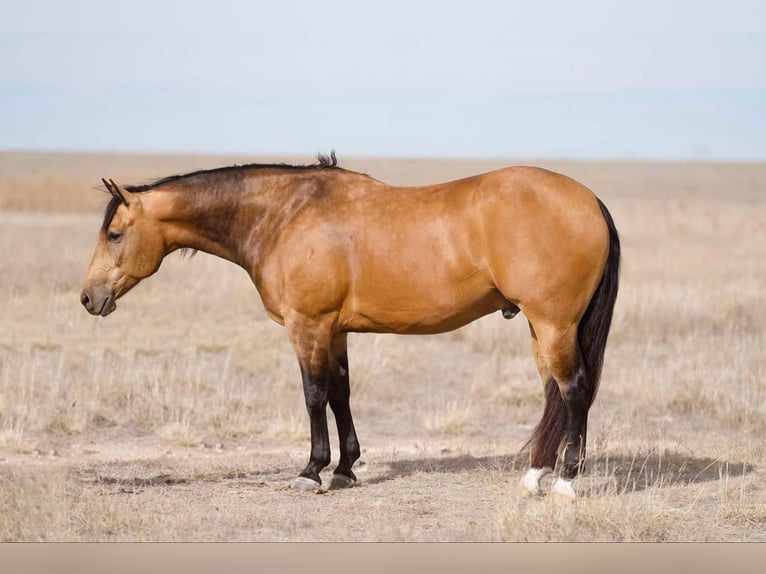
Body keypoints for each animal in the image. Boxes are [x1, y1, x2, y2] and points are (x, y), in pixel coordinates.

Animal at [81, 153, 620, 500]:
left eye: (115, 234)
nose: (89, 298)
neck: (286, 215)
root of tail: (590, 199)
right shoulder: (335, 331)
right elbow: (341, 394)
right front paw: (344, 470)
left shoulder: (308, 326)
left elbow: (314, 395)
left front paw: (311, 470)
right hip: (541, 328)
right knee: (554, 393)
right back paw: (534, 477)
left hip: (554, 324)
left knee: (573, 390)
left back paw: (566, 483)